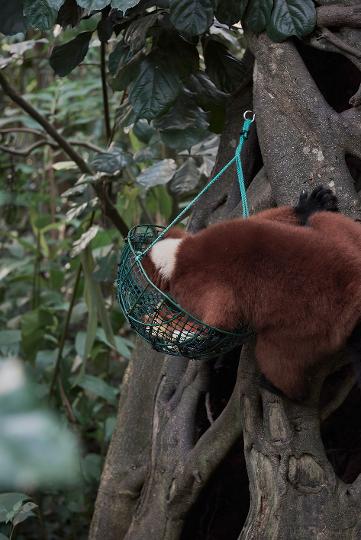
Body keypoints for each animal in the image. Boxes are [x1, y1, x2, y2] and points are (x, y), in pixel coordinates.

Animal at [142, 187, 360, 400]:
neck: (178, 256)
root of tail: (352, 281)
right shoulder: (225, 230)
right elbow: (261, 221)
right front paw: (305, 208)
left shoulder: (194, 285)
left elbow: (221, 319)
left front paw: (193, 336)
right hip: (345, 240)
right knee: (322, 219)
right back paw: (314, 211)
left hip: (316, 327)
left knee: (273, 352)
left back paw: (286, 392)